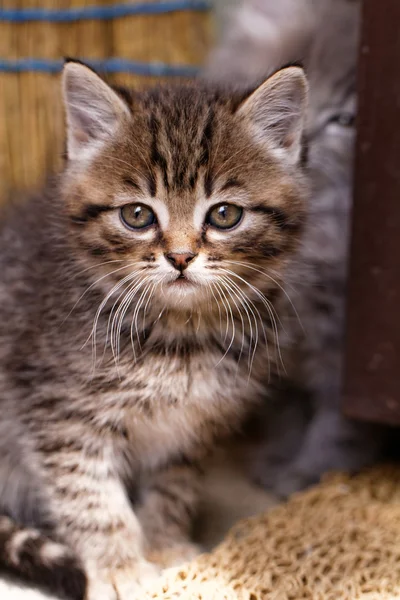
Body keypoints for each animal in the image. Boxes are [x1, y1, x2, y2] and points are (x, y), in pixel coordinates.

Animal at [0, 58, 308, 596]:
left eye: (224, 214)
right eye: (137, 215)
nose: (181, 257)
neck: (180, 337)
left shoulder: (191, 425)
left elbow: (173, 485)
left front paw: (165, 545)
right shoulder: (56, 409)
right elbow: (91, 495)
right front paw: (119, 568)